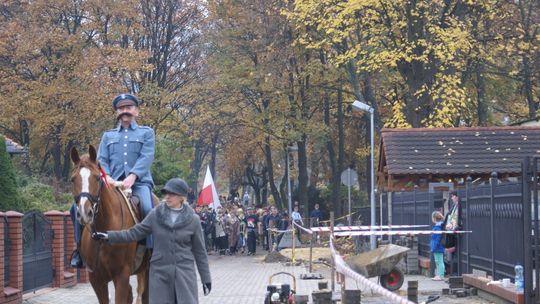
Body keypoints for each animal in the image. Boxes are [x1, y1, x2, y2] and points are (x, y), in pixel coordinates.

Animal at [69, 145, 151, 304]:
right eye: (72, 179)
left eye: (97, 177)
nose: (84, 213)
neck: (103, 233)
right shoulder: (96, 279)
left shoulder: (122, 275)